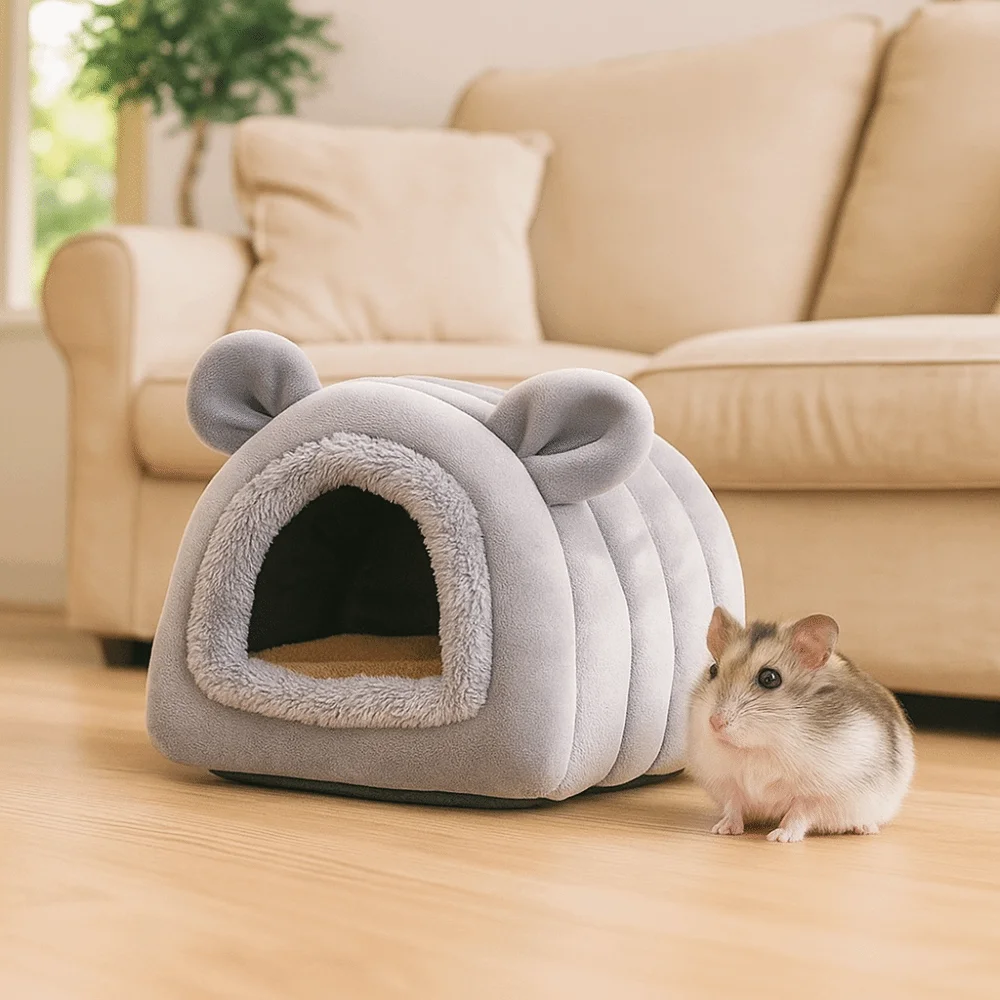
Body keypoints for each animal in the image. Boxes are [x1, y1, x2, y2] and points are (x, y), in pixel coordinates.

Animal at [686, 607, 914, 843]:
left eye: (769, 678)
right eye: (713, 670)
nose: (715, 722)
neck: (760, 746)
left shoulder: (816, 794)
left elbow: (798, 813)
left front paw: (780, 838)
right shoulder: (728, 783)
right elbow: (733, 806)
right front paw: (722, 830)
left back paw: (865, 828)